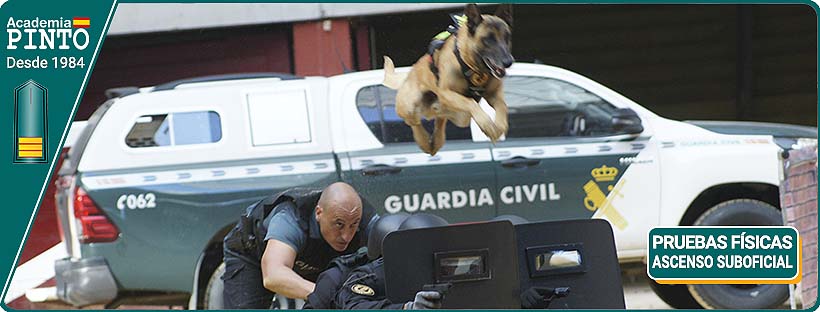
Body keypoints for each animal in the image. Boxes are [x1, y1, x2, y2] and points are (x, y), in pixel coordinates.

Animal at [384, 4, 512, 155]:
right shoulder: (446, 93)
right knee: (414, 122)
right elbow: (470, 102)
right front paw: (488, 125)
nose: (508, 62)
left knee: (439, 120)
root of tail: (408, 74)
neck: (473, 66)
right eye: (488, 39)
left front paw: (498, 127)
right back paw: (424, 140)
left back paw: (435, 138)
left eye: (507, 37)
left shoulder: (494, 95)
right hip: (410, 107)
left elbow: (503, 107)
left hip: (459, 117)